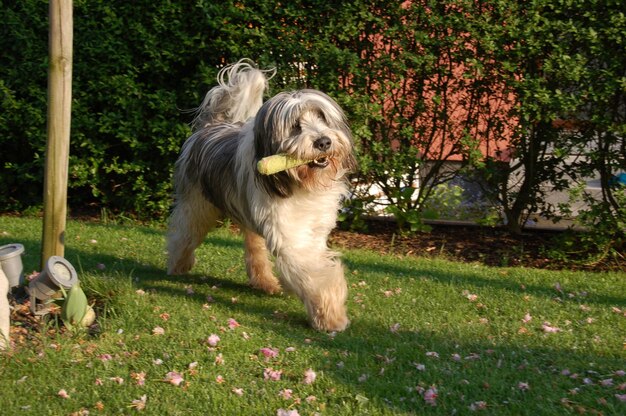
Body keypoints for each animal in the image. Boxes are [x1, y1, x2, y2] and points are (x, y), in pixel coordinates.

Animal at [165, 60, 356, 332]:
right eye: (295, 126)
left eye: (322, 117)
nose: (323, 142)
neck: (300, 183)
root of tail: (211, 126)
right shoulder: (290, 234)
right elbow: (314, 273)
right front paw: (331, 316)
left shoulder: (314, 228)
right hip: (196, 205)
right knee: (184, 233)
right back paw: (178, 265)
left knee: (254, 247)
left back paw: (265, 282)